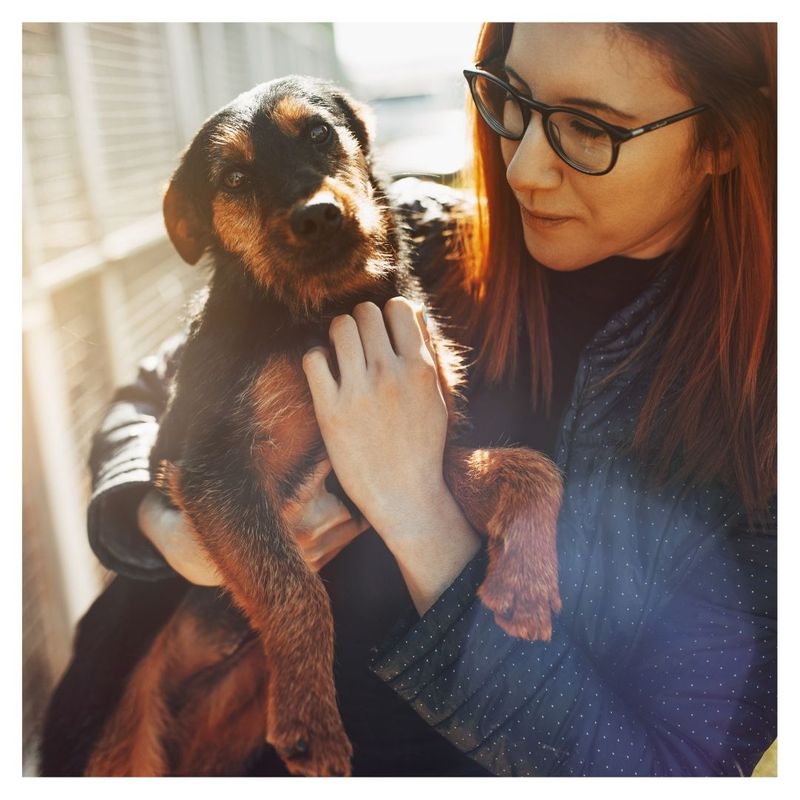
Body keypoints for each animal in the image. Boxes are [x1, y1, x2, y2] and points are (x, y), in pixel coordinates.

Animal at [84, 75, 564, 776]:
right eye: (233, 177)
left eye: (318, 132)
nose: (316, 216)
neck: (328, 307)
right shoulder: (216, 471)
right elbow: (295, 588)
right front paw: (311, 719)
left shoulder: (396, 466)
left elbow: (531, 467)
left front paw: (526, 585)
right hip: (120, 738)